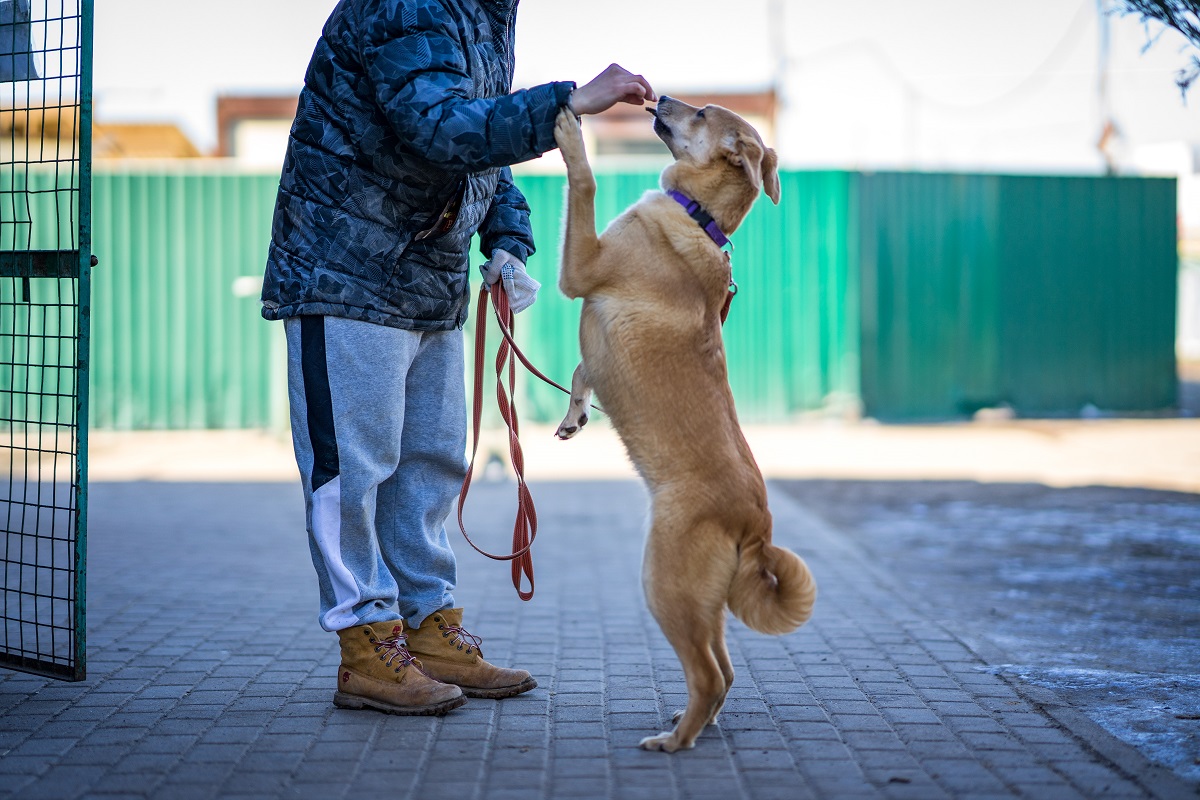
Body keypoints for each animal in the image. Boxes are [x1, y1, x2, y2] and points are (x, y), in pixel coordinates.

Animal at [549, 97, 816, 753]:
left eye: (701, 112)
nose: (659, 97)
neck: (700, 219)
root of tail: (756, 525)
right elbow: (582, 369)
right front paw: (574, 415)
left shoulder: (581, 268)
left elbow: (584, 183)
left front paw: (573, 137)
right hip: (702, 602)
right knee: (723, 671)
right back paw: (691, 724)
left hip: (663, 584)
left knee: (710, 674)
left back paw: (674, 741)